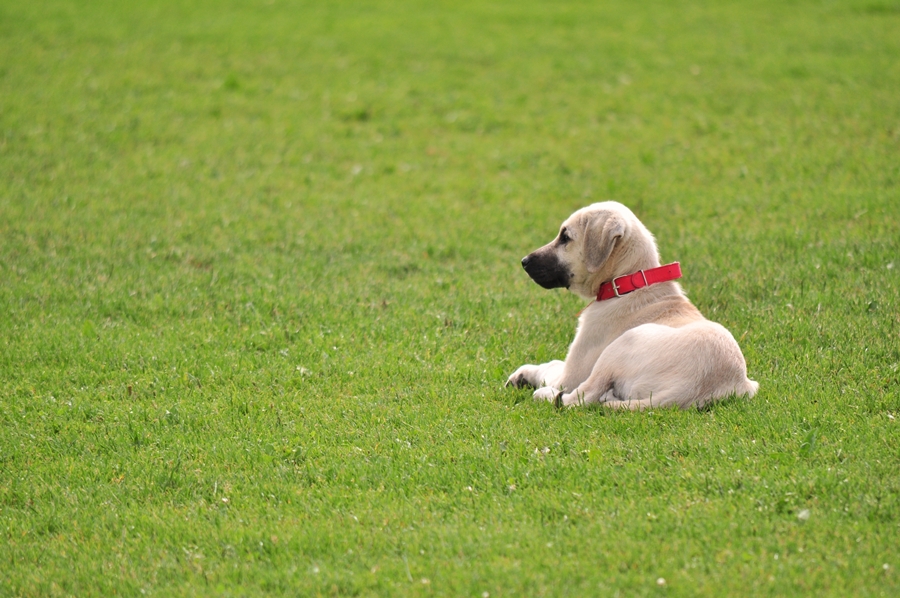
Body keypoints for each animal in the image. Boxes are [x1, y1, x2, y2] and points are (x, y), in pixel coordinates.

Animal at [510, 204, 756, 410]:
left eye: (565, 237)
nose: (523, 262)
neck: (627, 283)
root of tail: (691, 390)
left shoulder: (572, 372)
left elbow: (551, 366)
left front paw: (522, 374)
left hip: (621, 345)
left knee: (579, 398)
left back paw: (546, 395)